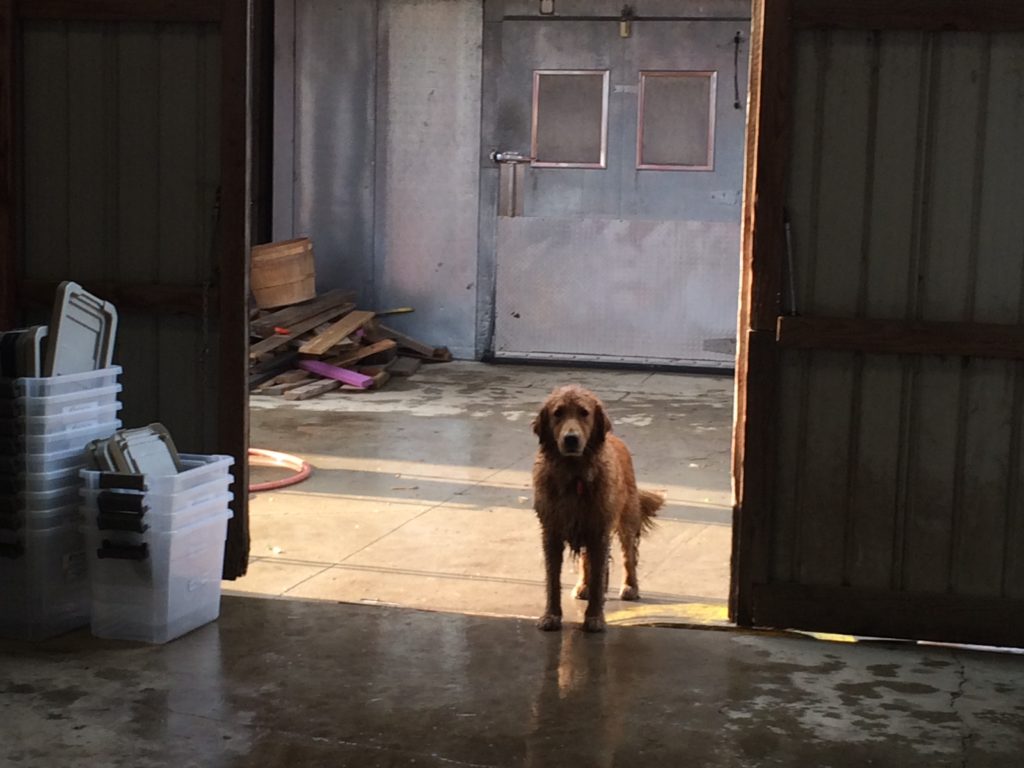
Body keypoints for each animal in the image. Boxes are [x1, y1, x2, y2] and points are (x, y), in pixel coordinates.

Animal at [532, 385, 667, 630]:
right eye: (558, 413)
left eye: (584, 413)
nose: (571, 439)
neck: (574, 475)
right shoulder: (552, 531)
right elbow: (553, 579)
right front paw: (551, 615)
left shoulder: (599, 529)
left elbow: (599, 573)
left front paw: (595, 617)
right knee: (587, 561)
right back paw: (583, 586)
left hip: (626, 518)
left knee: (628, 555)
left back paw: (630, 586)